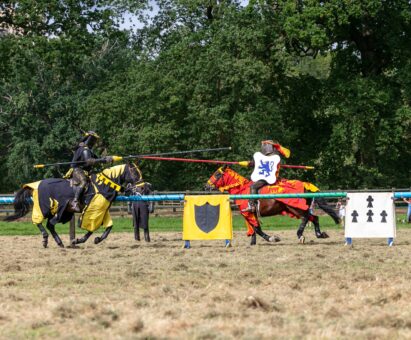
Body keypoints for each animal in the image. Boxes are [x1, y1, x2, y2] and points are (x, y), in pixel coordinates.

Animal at [3, 162, 143, 247]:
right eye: (135, 173)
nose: (141, 188)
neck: (103, 185)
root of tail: (36, 185)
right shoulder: (92, 211)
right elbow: (91, 227)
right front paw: (78, 240)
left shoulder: (103, 211)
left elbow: (108, 227)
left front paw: (94, 239)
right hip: (46, 207)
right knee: (40, 222)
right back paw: (46, 238)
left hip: (59, 211)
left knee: (50, 224)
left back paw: (59, 242)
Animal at [206, 165, 342, 243]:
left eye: (217, 174)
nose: (207, 186)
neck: (242, 190)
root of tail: (305, 184)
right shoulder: (251, 214)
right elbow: (254, 229)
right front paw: (253, 243)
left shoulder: (248, 213)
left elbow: (257, 229)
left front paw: (271, 238)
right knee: (314, 217)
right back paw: (319, 234)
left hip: (295, 208)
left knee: (307, 217)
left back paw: (300, 235)